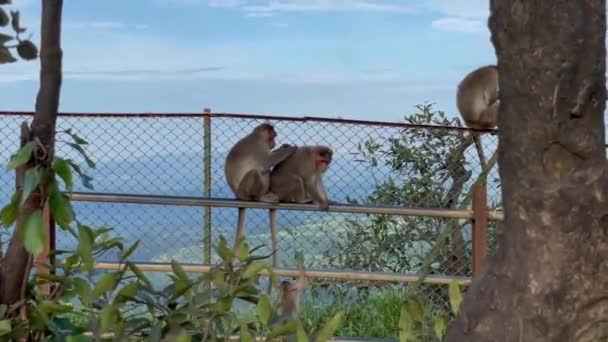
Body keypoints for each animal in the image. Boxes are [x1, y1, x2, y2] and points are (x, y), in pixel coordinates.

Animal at [226, 123, 296, 251]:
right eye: (273, 136)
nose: (274, 142)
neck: (257, 135)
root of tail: (237, 195)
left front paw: (284, 146)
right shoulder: (258, 147)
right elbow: (267, 161)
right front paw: (289, 149)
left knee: (264, 171)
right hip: (244, 190)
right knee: (256, 172)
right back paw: (259, 197)